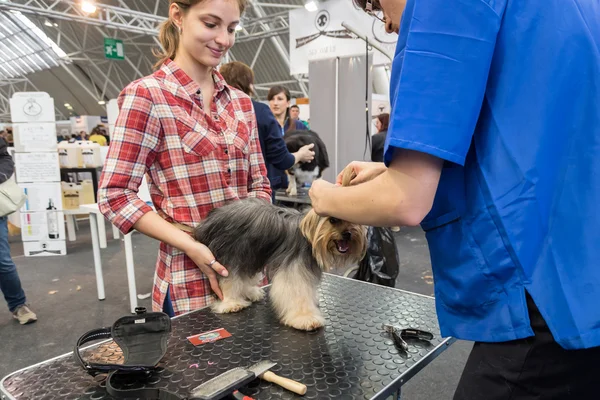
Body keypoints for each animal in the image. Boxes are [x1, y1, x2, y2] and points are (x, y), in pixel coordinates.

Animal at [195, 170, 364, 330]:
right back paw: (231, 303)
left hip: (251, 253)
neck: (310, 238)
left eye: (351, 219)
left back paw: (250, 292)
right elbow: (297, 293)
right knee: (229, 279)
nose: (348, 234)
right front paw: (305, 318)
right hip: (233, 254)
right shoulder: (295, 270)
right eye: (332, 220)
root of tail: (211, 219)